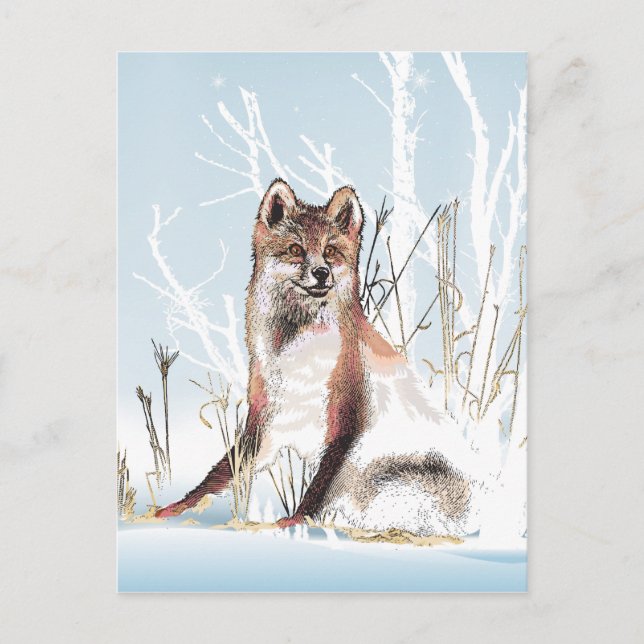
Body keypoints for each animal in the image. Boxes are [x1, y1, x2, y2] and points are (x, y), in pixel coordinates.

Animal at [156, 179, 480, 536]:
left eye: (331, 251)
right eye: (296, 249)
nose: (322, 272)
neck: (297, 360)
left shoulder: (345, 424)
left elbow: (317, 491)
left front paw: (293, 523)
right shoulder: (265, 423)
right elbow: (217, 478)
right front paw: (170, 511)